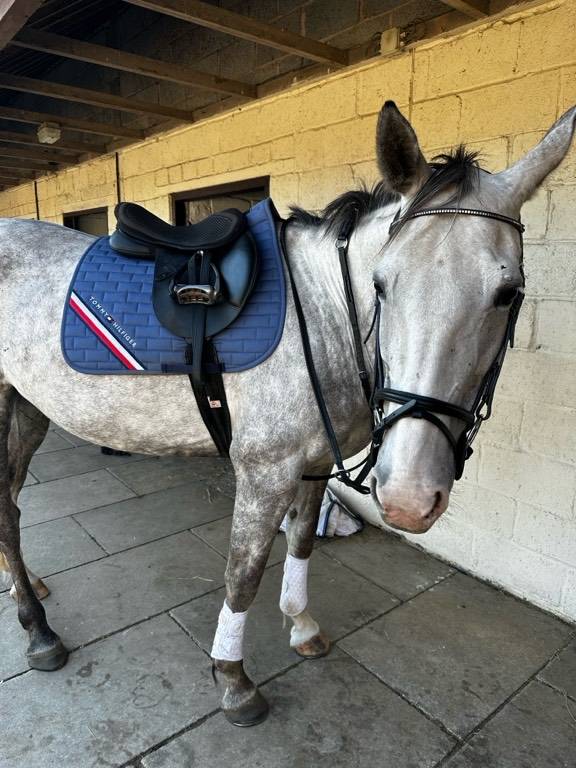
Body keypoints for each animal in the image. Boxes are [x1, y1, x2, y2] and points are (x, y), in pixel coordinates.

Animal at [0, 100, 574, 726]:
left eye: (509, 293)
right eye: (381, 284)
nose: (409, 497)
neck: (323, 315)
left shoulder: (315, 463)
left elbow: (300, 544)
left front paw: (301, 626)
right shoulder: (265, 470)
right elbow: (243, 573)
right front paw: (232, 679)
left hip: (28, 407)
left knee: (9, 501)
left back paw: (25, 590)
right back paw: (39, 632)